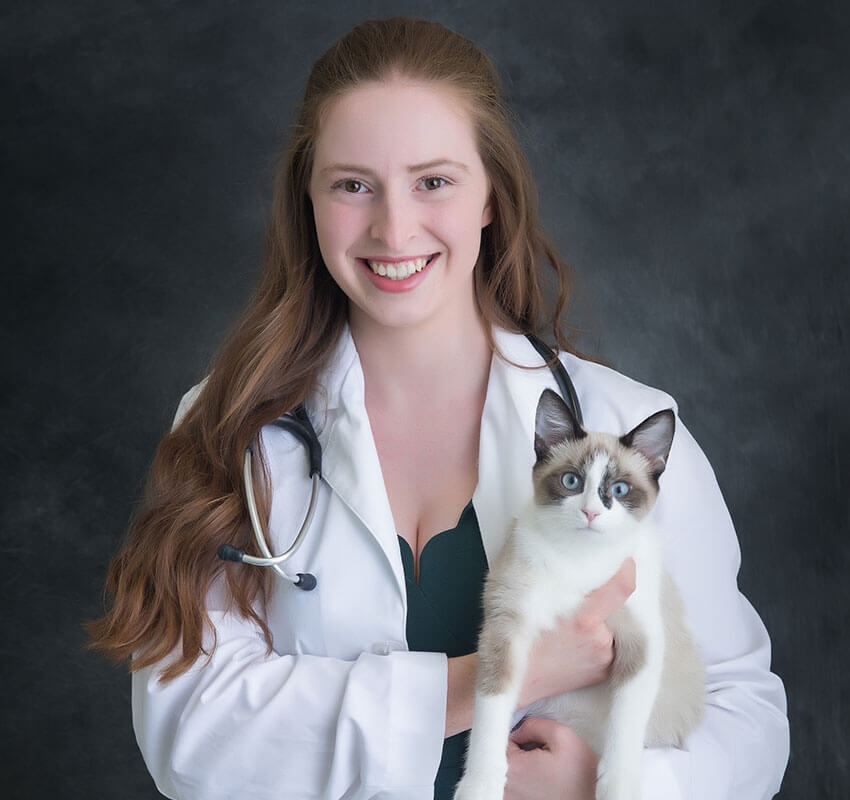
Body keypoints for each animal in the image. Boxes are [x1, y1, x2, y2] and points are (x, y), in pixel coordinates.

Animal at [454, 390, 704, 800]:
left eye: (619, 490)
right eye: (571, 481)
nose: (590, 513)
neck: (580, 559)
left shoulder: (642, 644)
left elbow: (625, 726)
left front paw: (616, 788)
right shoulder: (507, 626)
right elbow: (490, 709)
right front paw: (479, 786)